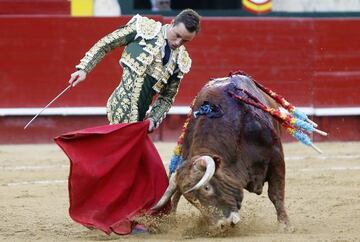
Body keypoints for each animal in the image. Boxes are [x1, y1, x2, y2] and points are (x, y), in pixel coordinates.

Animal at [153, 73, 292, 232]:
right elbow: (177, 195)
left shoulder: (276, 157)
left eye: (207, 187)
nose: (222, 225)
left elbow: (275, 193)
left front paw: (285, 225)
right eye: (192, 200)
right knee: (175, 196)